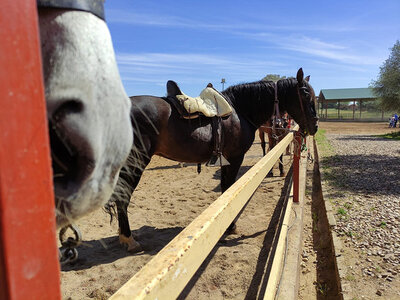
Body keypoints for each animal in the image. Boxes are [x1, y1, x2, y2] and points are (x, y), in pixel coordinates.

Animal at [112, 67, 318, 251]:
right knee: (123, 198)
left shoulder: (225, 159)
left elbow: (225, 189)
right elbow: (229, 189)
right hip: (135, 163)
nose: (314, 127)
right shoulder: (235, 158)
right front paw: (231, 225)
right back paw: (129, 240)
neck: (240, 110)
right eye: (305, 94)